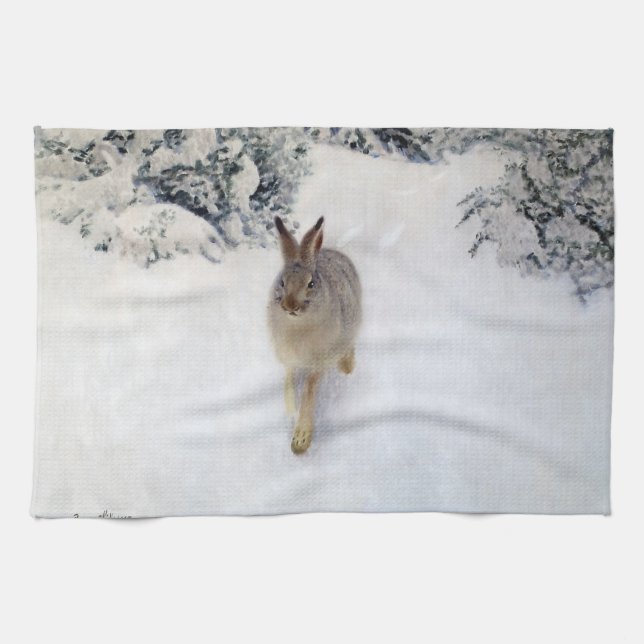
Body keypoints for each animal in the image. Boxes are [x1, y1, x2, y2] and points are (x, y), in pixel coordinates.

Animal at [268, 215, 362, 454]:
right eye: (282, 282)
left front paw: (301, 439)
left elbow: (309, 392)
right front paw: (290, 409)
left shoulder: (319, 361)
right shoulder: (289, 359)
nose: (290, 306)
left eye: (311, 284)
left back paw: (347, 367)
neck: (298, 326)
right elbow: (289, 382)